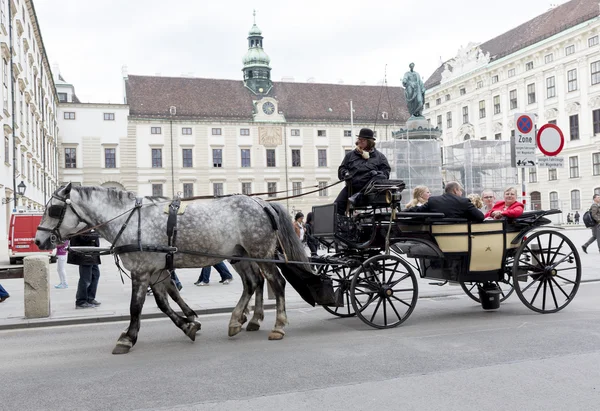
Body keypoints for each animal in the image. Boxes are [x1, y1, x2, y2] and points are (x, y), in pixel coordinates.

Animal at [35, 183, 312, 354]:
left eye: (54, 209)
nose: (39, 241)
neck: (130, 220)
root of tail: (262, 203)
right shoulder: (156, 271)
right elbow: (164, 302)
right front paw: (188, 323)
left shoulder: (141, 271)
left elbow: (136, 307)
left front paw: (128, 337)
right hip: (240, 255)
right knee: (254, 282)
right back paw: (241, 320)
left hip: (261, 253)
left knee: (276, 283)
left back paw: (278, 325)